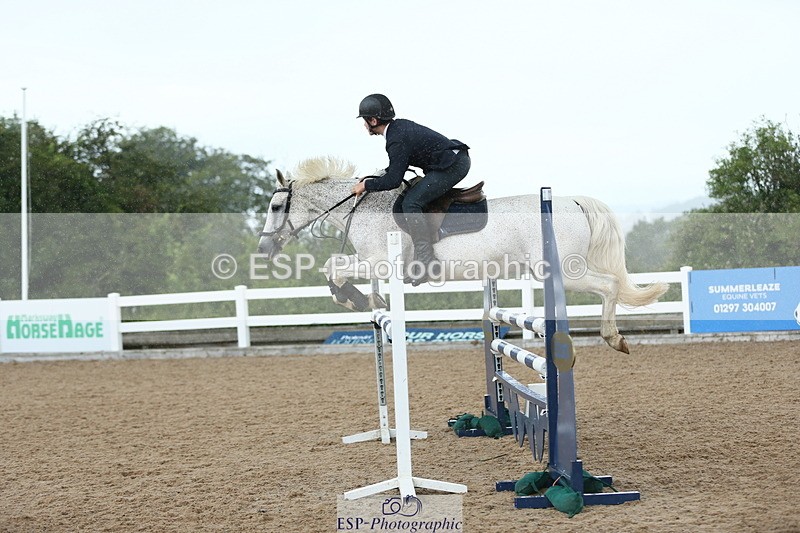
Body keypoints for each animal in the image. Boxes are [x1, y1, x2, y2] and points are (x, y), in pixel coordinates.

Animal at [257, 156, 668, 353]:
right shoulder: (374, 265)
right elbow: (335, 268)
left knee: (610, 285)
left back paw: (614, 338)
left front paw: (352, 298)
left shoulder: (379, 262)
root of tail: (573, 200)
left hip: (564, 272)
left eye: (276, 207)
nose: (263, 248)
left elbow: (334, 267)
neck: (365, 208)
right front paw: (362, 299)